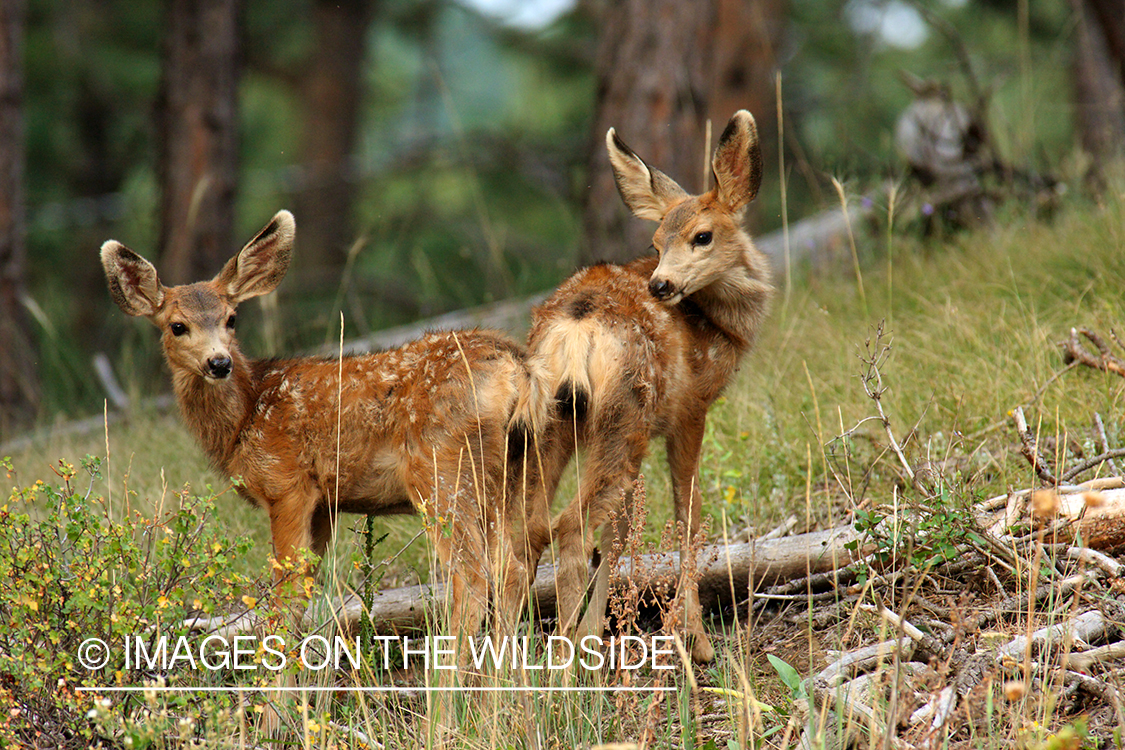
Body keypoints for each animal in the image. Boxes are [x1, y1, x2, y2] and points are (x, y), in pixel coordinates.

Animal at [100, 210, 548, 649]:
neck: (246, 416)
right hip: (510, 470)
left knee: (472, 575)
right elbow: (306, 597)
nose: (219, 362)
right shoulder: (324, 506)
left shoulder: (287, 485)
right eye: (177, 326)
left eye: (231, 318)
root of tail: (515, 365)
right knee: (512, 567)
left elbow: (284, 600)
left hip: (441, 467)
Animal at [524, 110, 773, 663]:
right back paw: (569, 659)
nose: (660, 284)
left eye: (701, 236)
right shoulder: (690, 410)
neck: (718, 326)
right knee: (569, 526)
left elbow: (619, 539)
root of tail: (574, 328)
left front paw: (606, 624)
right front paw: (696, 641)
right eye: (656, 243)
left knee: (522, 530)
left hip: (555, 424)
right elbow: (688, 516)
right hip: (625, 417)